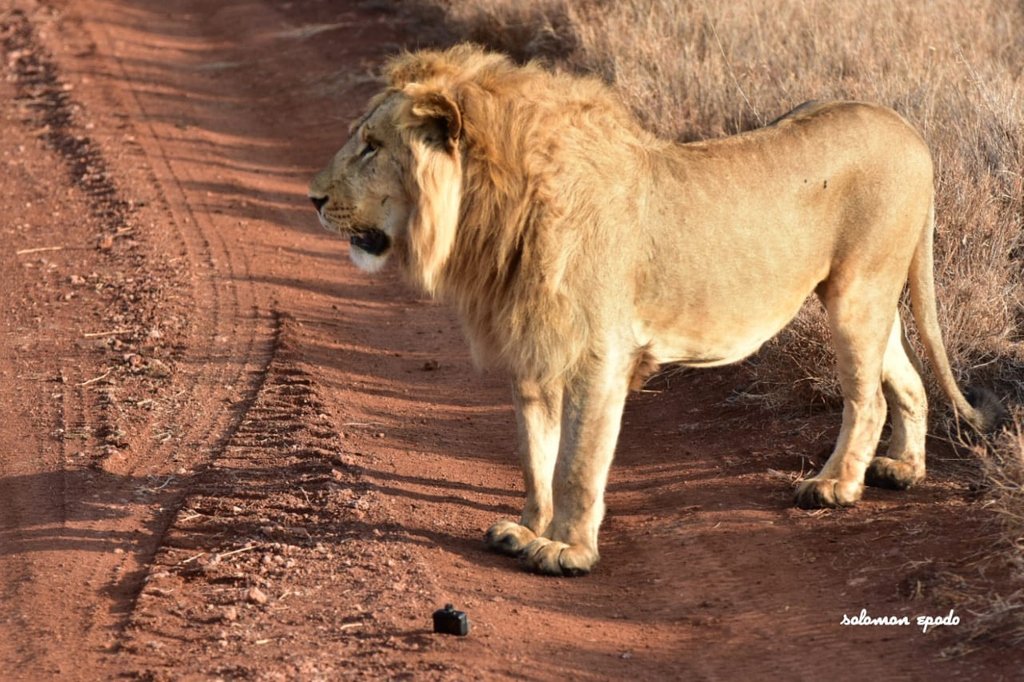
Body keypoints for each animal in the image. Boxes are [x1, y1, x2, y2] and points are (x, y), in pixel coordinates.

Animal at [308, 44, 1003, 576]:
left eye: (371, 146)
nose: (312, 198)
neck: (488, 213)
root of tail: (907, 128)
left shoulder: (598, 355)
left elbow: (577, 463)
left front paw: (566, 551)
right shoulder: (533, 353)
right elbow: (536, 456)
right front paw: (528, 530)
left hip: (859, 292)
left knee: (869, 397)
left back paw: (834, 487)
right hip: (862, 294)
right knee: (908, 380)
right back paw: (903, 469)